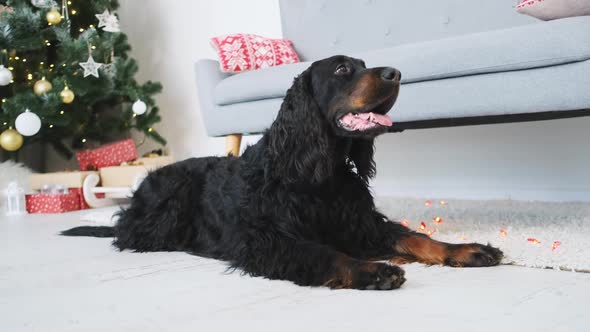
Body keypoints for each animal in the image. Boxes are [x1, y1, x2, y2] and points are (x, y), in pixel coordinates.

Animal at [63, 55, 504, 290]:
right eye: (342, 70)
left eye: (363, 65)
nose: (395, 73)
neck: (318, 171)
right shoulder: (266, 240)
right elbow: (324, 252)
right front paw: (371, 270)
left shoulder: (361, 224)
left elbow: (414, 237)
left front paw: (466, 249)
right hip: (170, 198)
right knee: (127, 235)